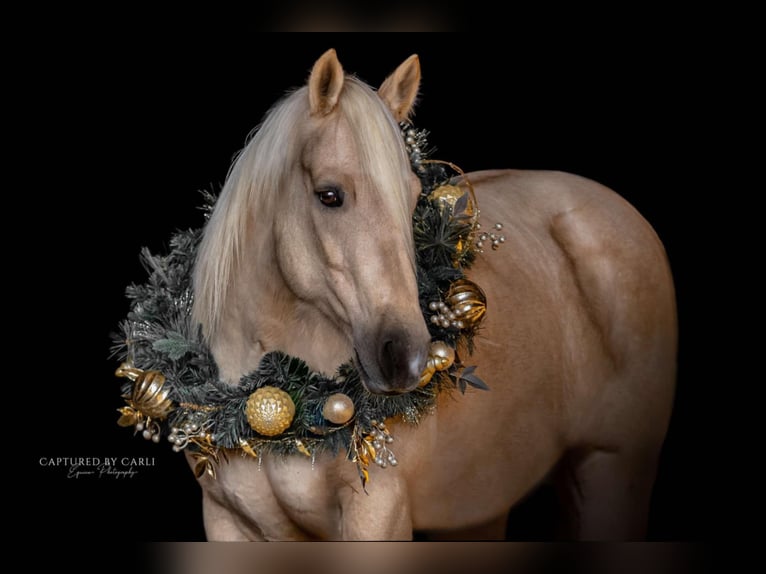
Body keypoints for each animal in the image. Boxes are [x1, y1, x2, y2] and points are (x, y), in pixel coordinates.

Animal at [186, 49, 680, 540]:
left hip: (612, 469)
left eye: (411, 197)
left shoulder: (377, 515)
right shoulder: (227, 520)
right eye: (328, 195)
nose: (405, 356)